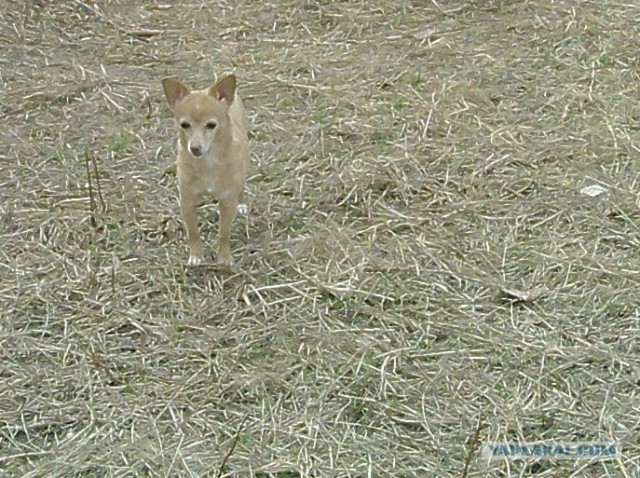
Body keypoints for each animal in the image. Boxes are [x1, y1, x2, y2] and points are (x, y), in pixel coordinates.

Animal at [161, 74, 249, 266]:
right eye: (184, 125)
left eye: (211, 125)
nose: (195, 148)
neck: (207, 163)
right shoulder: (186, 202)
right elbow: (193, 232)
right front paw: (196, 255)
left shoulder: (227, 202)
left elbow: (224, 234)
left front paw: (224, 258)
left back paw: (242, 204)